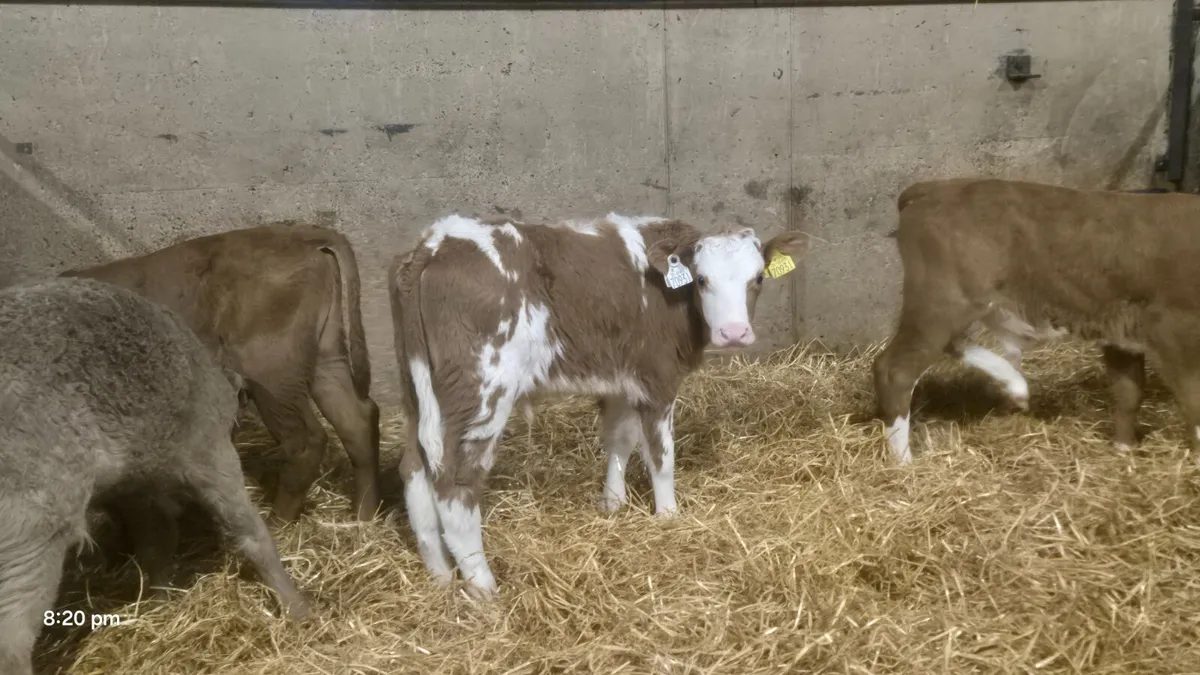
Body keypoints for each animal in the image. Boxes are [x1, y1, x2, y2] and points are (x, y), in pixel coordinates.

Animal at [0, 278, 308, 675]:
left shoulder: (137, 487)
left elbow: (156, 543)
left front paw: (160, 600)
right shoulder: (209, 447)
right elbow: (250, 531)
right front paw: (298, 607)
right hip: (31, 529)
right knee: (11, 644)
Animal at [61, 224, 381, 522]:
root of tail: (300, 234)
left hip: (269, 368)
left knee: (305, 441)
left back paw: (280, 520)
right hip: (325, 356)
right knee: (356, 420)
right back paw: (364, 516)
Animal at [389, 213, 807, 598]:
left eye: (758, 278)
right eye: (702, 280)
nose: (734, 333)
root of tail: (436, 241)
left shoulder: (622, 378)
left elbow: (620, 439)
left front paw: (612, 503)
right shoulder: (658, 378)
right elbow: (661, 456)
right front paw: (668, 517)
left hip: (417, 390)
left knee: (415, 469)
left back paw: (439, 578)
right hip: (482, 390)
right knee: (455, 482)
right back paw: (484, 589)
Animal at [873, 178, 1200, 464]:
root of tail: (934, 187)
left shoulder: (1121, 327)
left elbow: (1129, 391)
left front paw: (1123, 451)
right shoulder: (1175, 328)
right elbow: (1193, 400)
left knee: (951, 344)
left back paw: (1016, 386)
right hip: (945, 300)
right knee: (895, 369)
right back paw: (905, 465)